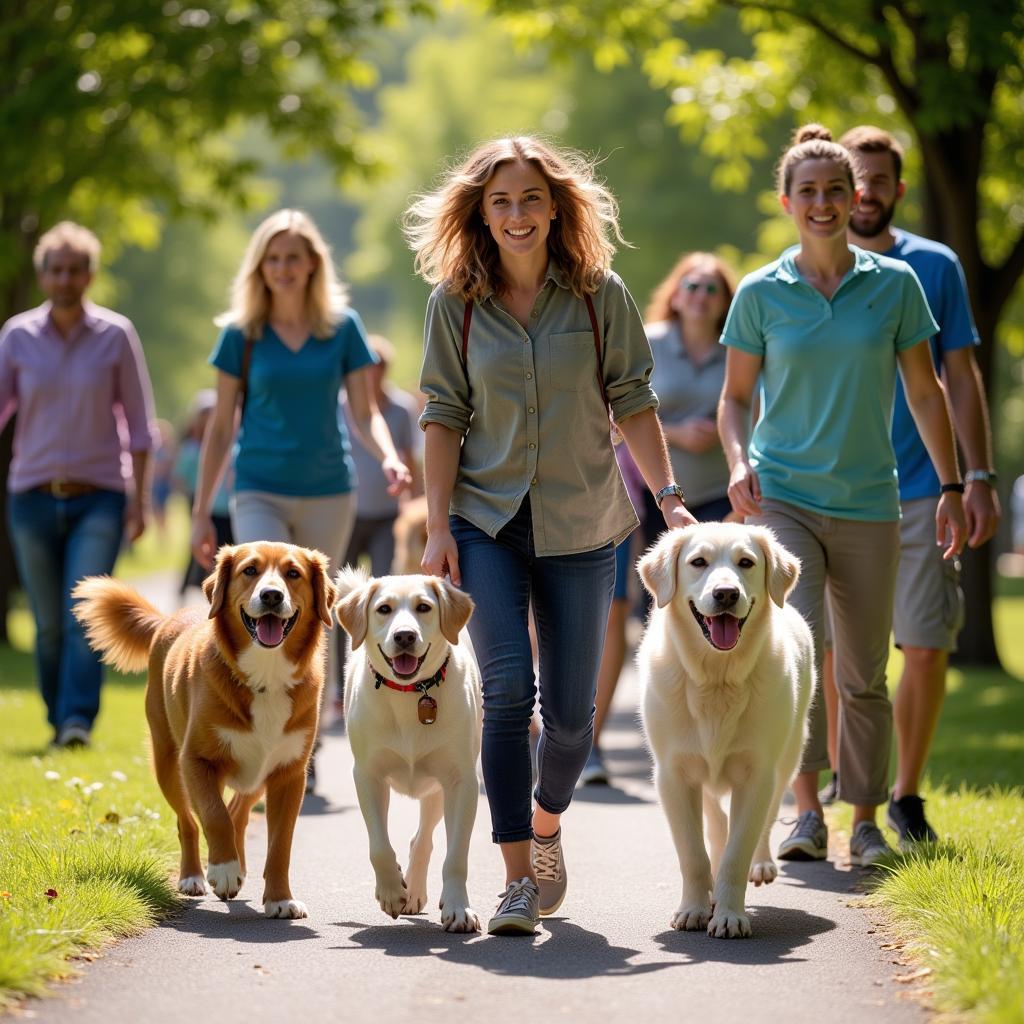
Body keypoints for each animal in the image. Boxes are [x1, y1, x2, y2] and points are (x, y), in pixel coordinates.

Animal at [73, 544, 335, 921]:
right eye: (250, 570)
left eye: (293, 573)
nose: (272, 595)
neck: (265, 677)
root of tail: (168, 620)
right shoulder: (196, 761)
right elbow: (213, 816)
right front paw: (223, 869)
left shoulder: (288, 774)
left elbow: (279, 844)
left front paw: (280, 898)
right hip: (168, 764)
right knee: (189, 821)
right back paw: (194, 876)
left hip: (256, 775)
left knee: (239, 811)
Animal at [333, 573, 481, 933]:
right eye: (384, 609)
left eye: (423, 607)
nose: (404, 635)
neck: (412, 693)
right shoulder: (367, 776)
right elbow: (378, 846)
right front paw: (390, 891)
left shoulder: (462, 782)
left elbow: (456, 855)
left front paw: (458, 908)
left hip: (438, 789)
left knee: (423, 839)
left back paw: (414, 889)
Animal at [638, 524, 815, 937]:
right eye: (698, 562)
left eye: (746, 563)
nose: (726, 593)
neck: (716, 680)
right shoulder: (673, 775)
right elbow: (692, 852)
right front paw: (693, 908)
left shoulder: (757, 774)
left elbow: (739, 849)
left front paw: (731, 915)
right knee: (716, 823)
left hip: (788, 760)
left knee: (763, 821)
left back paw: (759, 865)